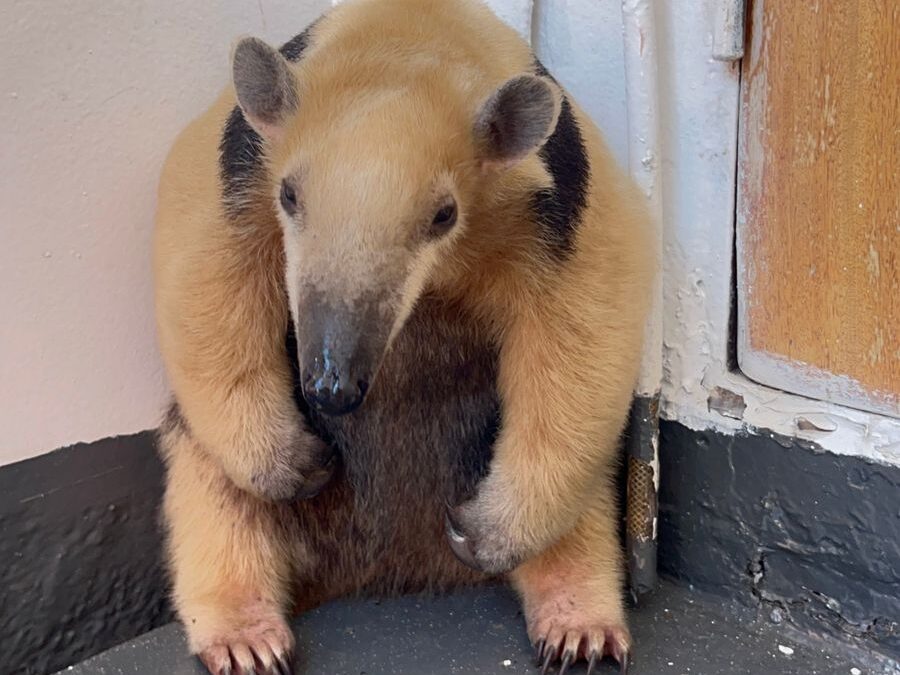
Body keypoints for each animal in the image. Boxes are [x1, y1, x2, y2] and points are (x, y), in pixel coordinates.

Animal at [153, 0, 654, 673]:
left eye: (444, 214)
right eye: (289, 194)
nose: (330, 388)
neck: (408, 45)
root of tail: (395, 565)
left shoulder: (562, 204)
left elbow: (585, 315)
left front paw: (487, 531)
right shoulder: (238, 168)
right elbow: (206, 274)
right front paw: (298, 462)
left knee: (581, 507)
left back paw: (578, 626)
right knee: (213, 488)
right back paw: (244, 636)